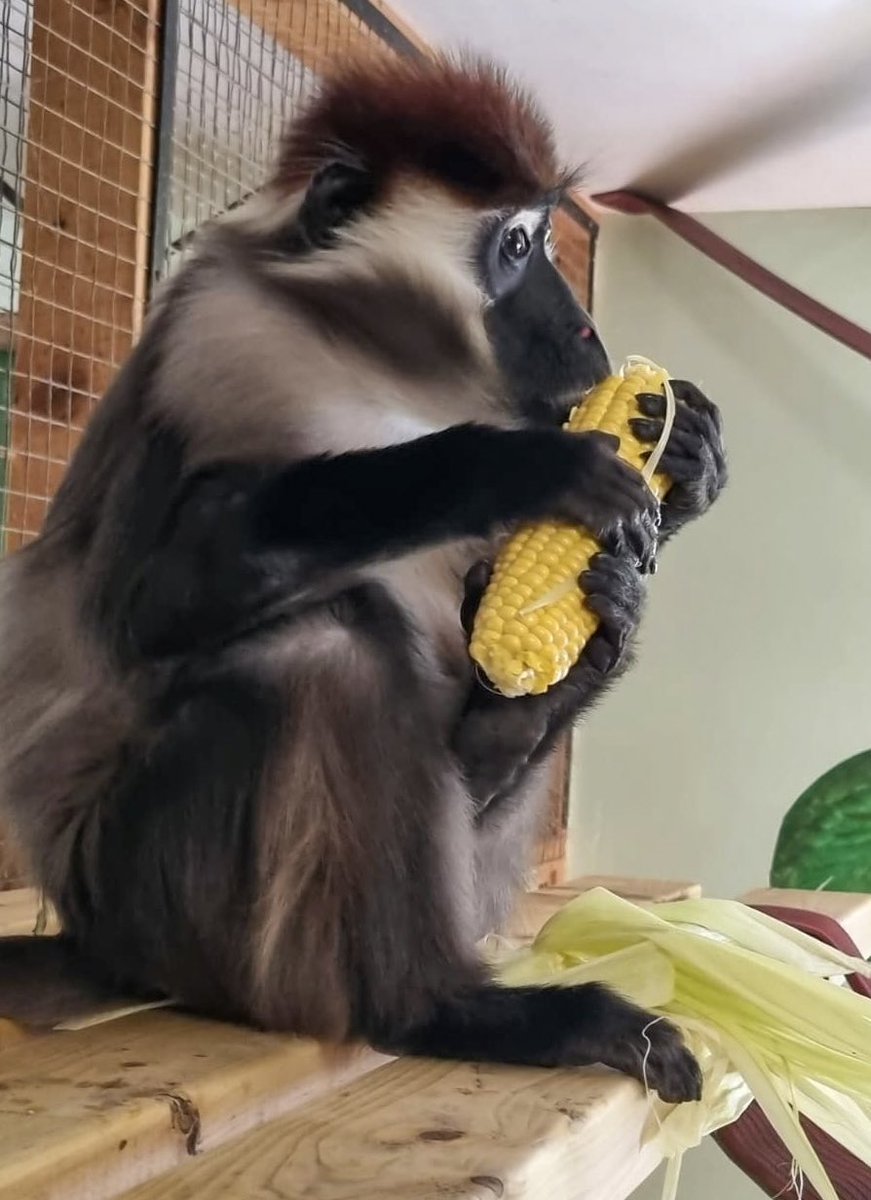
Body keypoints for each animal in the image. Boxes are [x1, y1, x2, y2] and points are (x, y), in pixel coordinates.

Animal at [0, 58, 724, 1104]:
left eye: (548, 238)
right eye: (516, 245)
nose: (588, 331)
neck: (373, 357)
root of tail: (97, 945)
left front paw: (687, 457)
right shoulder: (219, 331)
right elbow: (141, 606)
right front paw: (512, 466)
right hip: (143, 893)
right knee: (328, 648)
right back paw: (439, 1010)